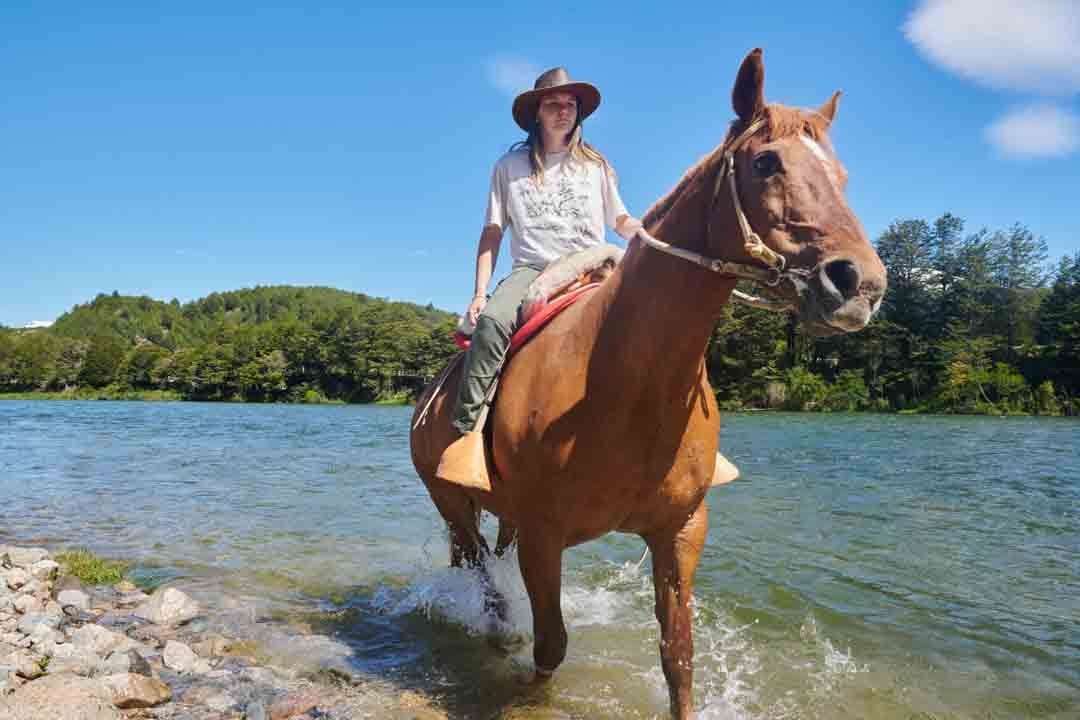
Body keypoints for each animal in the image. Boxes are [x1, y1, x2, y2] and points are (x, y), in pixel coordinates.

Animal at [410, 48, 887, 719]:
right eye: (765, 162)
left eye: (841, 175)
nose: (860, 284)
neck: (621, 381)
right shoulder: (544, 534)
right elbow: (550, 647)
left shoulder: (680, 531)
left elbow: (678, 658)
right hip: (452, 503)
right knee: (481, 577)